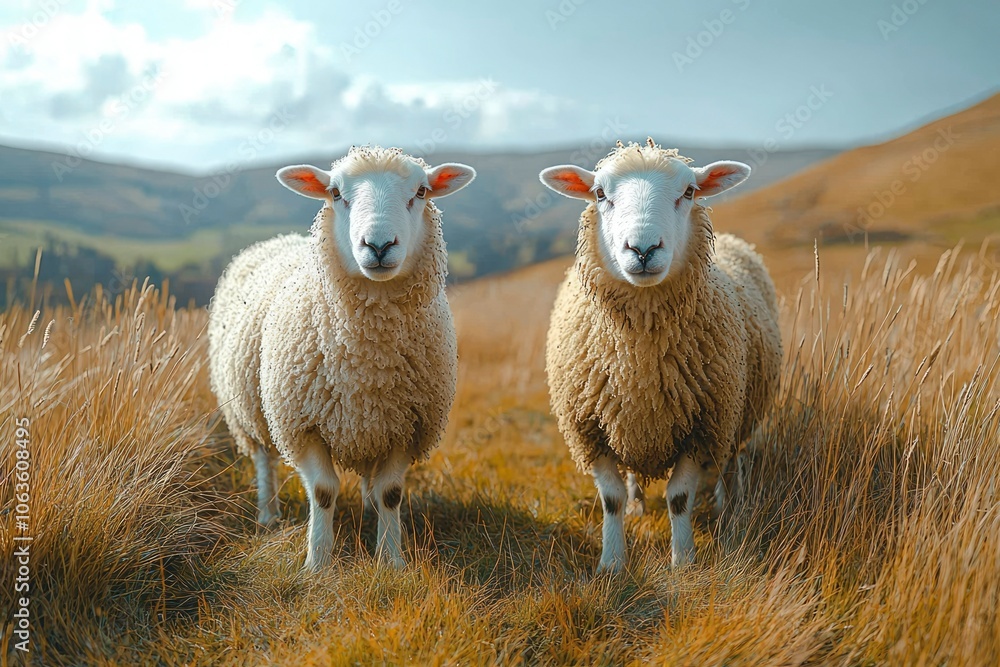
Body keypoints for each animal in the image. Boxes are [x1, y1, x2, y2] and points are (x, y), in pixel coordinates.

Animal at [207, 146, 476, 570]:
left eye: (421, 191)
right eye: (335, 193)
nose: (378, 246)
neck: (367, 361)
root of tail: (279, 239)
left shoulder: (408, 422)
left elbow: (390, 492)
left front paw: (391, 560)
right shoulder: (302, 424)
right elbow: (323, 491)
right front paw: (317, 562)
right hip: (251, 408)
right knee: (264, 458)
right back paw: (268, 513)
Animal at [539, 139, 781, 572]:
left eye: (689, 192)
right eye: (599, 193)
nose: (643, 248)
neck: (641, 363)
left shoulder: (703, 426)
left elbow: (679, 498)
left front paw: (683, 561)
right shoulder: (590, 428)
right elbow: (611, 499)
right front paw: (612, 562)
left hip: (734, 415)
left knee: (730, 462)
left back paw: (728, 507)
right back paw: (639, 503)